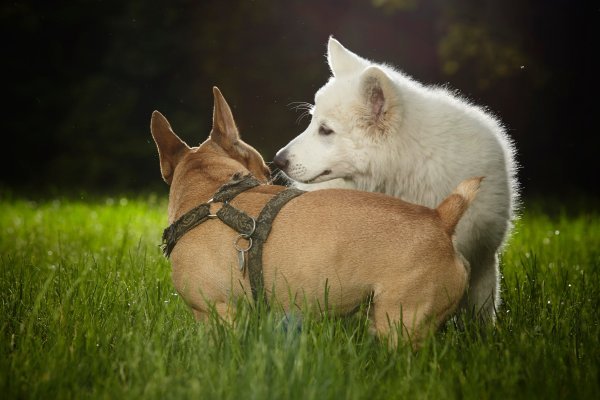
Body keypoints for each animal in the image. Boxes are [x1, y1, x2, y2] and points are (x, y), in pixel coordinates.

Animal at [151, 87, 482, 346]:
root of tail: (440, 218)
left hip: (400, 320)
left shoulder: (215, 312)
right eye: (266, 169)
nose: (271, 174)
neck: (211, 189)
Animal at [274, 36, 516, 320]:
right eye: (313, 123)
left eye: (325, 130)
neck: (409, 166)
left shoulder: (483, 256)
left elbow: (481, 314)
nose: (278, 160)